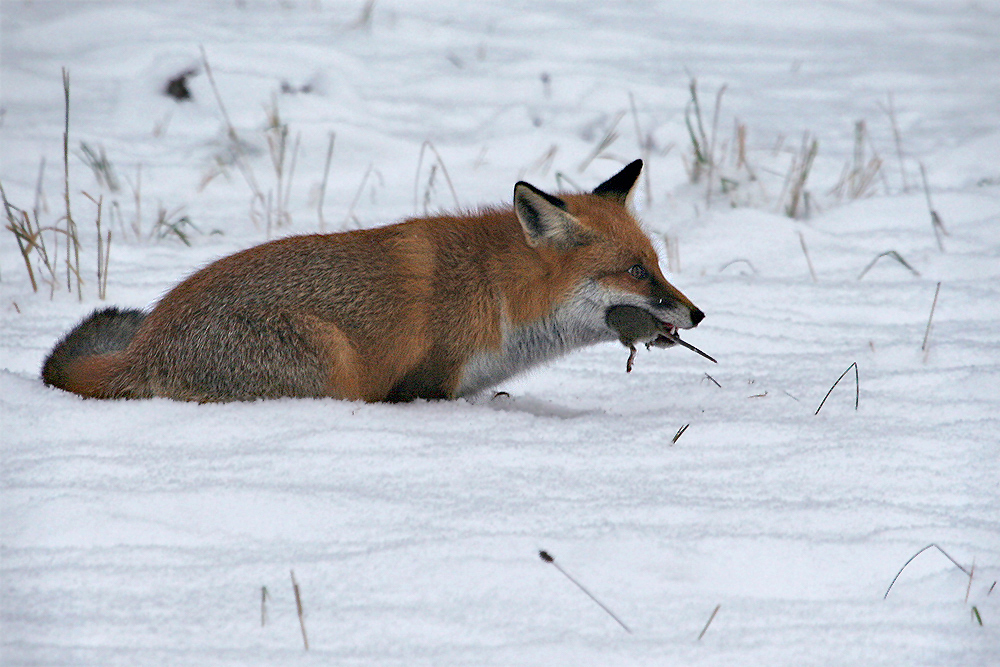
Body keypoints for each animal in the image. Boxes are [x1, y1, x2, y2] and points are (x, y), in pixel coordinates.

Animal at [43, 160, 704, 402]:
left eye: (658, 264)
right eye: (637, 271)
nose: (697, 314)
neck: (501, 295)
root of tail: (144, 347)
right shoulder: (424, 385)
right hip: (331, 363)